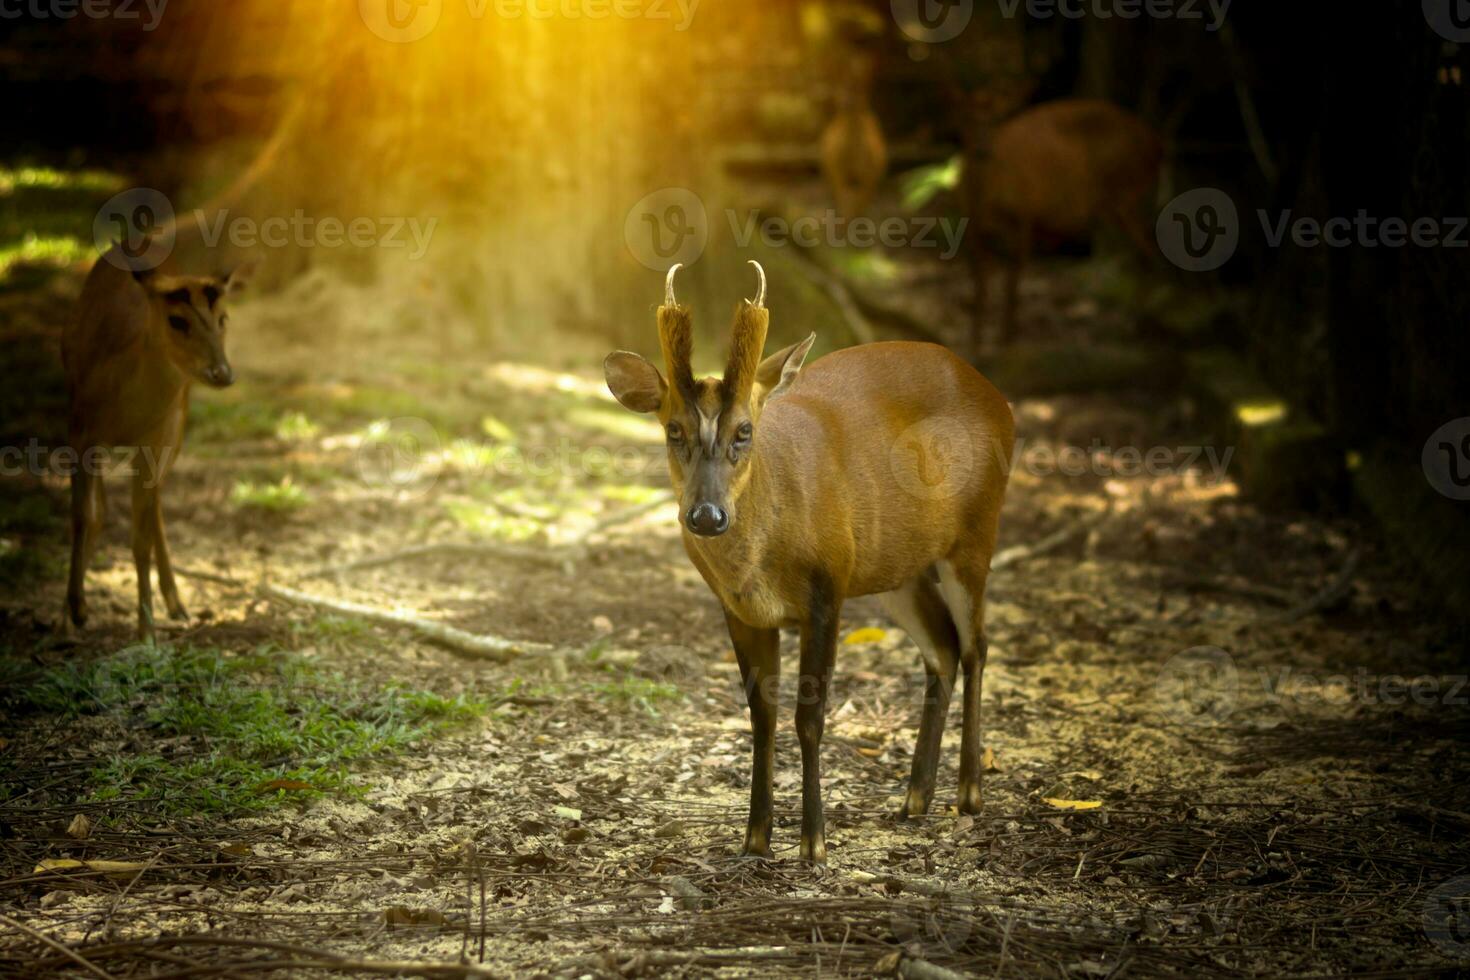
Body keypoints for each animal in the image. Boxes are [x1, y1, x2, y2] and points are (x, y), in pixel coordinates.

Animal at [602, 262, 1017, 863]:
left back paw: (968, 794)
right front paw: (755, 839)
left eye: (744, 431)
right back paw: (915, 798)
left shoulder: (827, 588)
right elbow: (762, 717)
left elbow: (810, 718)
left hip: (974, 534)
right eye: (672, 429)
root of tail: (999, 398)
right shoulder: (741, 610)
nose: (706, 515)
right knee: (941, 647)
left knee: (976, 645)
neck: (759, 561)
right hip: (895, 567)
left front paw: (813, 843)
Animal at [970, 96, 1164, 348]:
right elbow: (980, 289)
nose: (982, 149)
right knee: (1145, 251)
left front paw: (1005, 343)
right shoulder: (976, 232)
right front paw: (976, 343)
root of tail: (1157, 145)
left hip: (1123, 194)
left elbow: (1011, 289)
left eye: (998, 118)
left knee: (1148, 250)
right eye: (964, 116)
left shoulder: (1024, 222)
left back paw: (1137, 328)